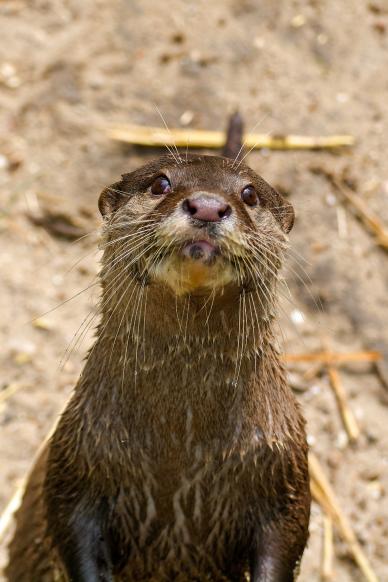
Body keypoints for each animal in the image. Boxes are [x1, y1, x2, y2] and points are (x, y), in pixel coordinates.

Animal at [5, 116, 310, 580]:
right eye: (160, 183)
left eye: (249, 194)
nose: (207, 205)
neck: (180, 446)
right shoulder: (76, 458)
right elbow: (68, 522)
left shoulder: (283, 467)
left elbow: (287, 536)